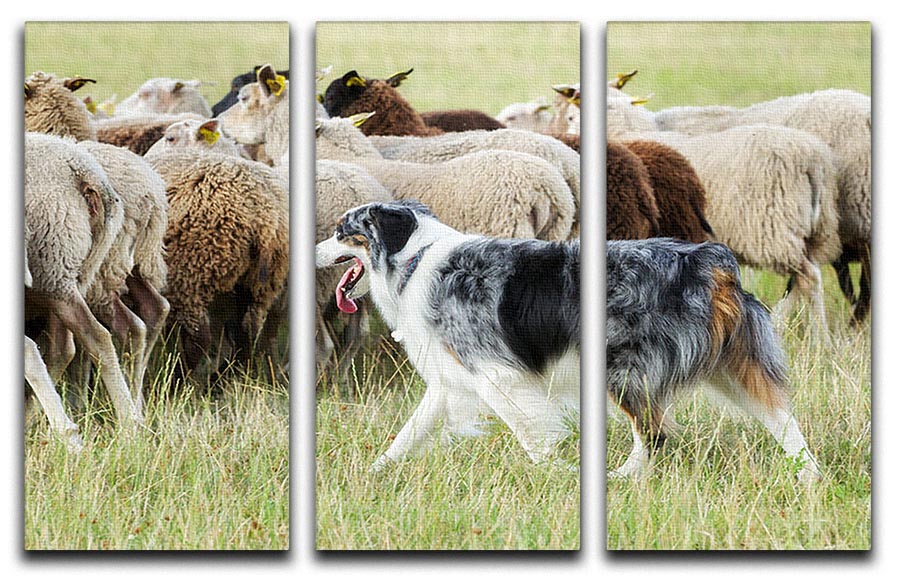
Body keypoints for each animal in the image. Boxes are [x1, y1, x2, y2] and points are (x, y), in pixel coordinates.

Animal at [144, 148, 289, 375]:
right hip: (260, 285)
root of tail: (266, 217)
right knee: (247, 336)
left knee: (198, 338)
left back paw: (180, 379)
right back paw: (223, 378)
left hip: (191, 273)